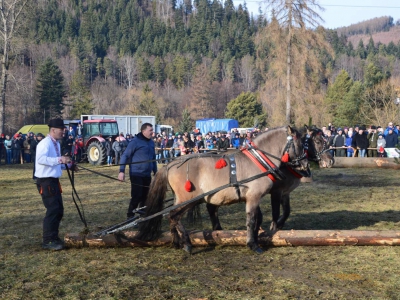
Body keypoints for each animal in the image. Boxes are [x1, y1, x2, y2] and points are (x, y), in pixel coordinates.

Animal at [137, 125, 310, 254]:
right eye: (301, 145)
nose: (306, 165)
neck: (257, 160)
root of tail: (170, 164)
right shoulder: (254, 196)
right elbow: (251, 219)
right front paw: (253, 244)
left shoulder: (253, 197)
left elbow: (257, 219)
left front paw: (256, 237)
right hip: (187, 199)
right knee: (173, 216)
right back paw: (186, 243)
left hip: (182, 199)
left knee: (172, 217)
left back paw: (176, 241)